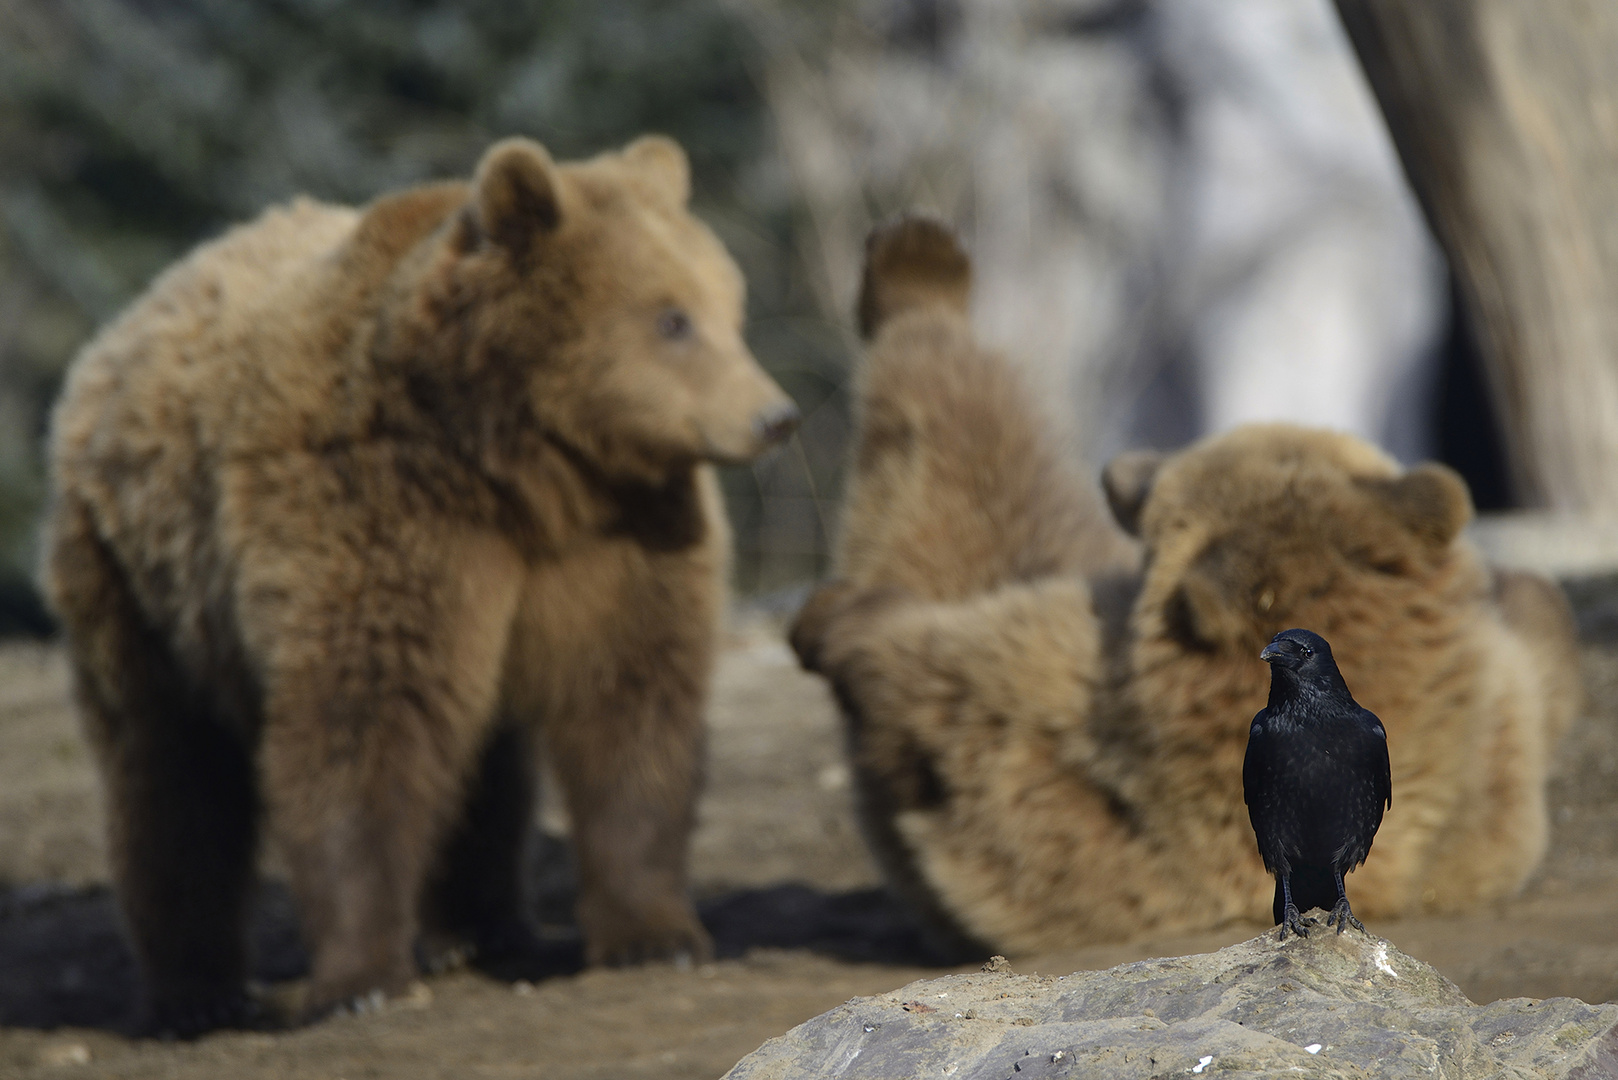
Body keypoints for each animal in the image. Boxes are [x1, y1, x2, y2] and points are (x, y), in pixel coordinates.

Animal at [38, 137, 796, 1036]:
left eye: (733, 307)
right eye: (673, 319)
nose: (775, 416)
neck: (525, 468)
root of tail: (132, 316)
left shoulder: (617, 542)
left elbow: (631, 709)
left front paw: (656, 935)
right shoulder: (380, 515)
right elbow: (360, 724)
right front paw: (360, 978)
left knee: (484, 761)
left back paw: (480, 929)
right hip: (138, 585)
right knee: (168, 773)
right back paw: (196, 992)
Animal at [796, 215, 1579, 958]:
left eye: (1167, 485)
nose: (1118, 469)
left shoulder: (1072, 715)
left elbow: (943, 649)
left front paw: (844, 624)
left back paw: (916, 266)